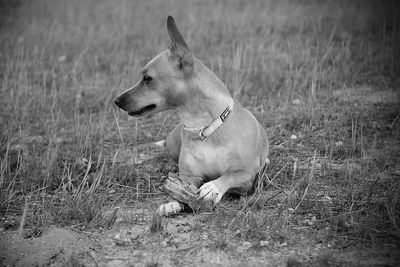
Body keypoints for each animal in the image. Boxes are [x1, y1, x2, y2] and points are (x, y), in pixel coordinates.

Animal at [114, 15, 268, 217]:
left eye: (147, 78)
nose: (117, 101)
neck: (205, 128)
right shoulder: (189, 177)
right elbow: (180, 189)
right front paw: (172, 202)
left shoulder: (246, 175)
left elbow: (229, 176)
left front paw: (213, 187)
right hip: (172, 146)